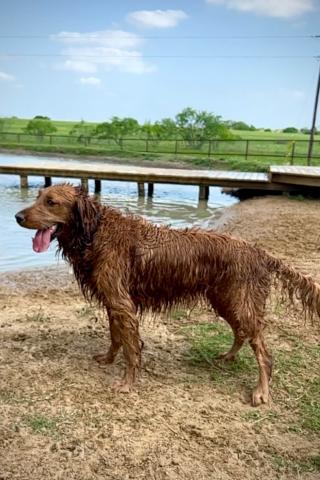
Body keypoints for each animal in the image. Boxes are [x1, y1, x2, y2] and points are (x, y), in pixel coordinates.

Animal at [15, 184, 320, 404]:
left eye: (51, 202)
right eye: (38, 197)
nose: (17, 217)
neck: (95, 232)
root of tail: (261, 252)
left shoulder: (122, 304)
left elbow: (131, 350)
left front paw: (127, 384)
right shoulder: (113, 302)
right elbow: (116, 339)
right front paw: (108, 359)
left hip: (240, 303)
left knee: (264, 354)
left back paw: (261, 392)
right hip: (225, 301)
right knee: (241, 333)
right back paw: (227, 357)